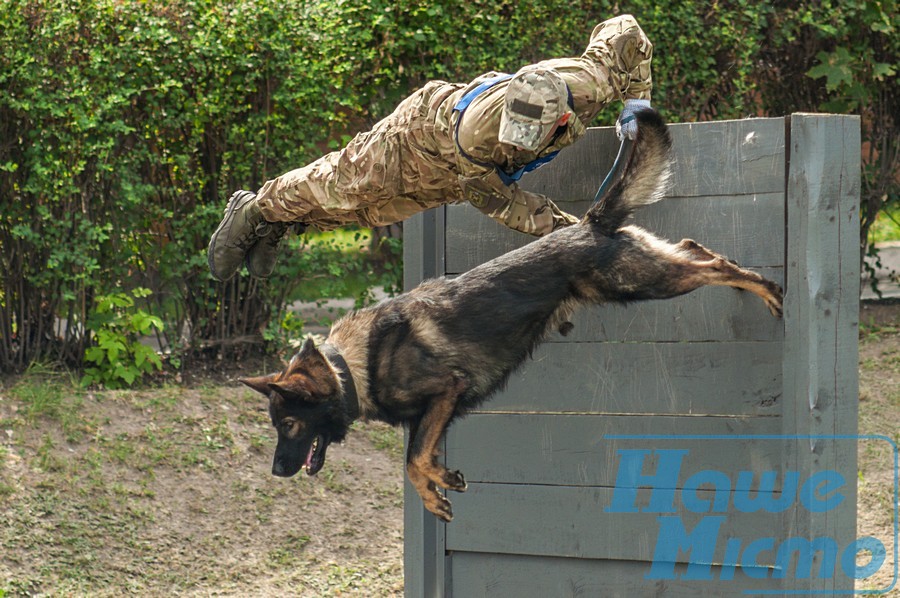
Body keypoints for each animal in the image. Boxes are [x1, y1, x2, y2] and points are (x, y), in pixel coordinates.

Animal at [243, 110, 784, 524]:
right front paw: (439, 485)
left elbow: (412, 459)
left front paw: (431, 487)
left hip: (639, 282)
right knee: (694, 247)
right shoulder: (434, 414)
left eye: (288, 424)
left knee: (711, 265)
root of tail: (590, 223)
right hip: (640, 274)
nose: (275, 472)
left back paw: (766, 289)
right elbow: (420, 458)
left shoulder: (446, 389)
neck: (353, 365)